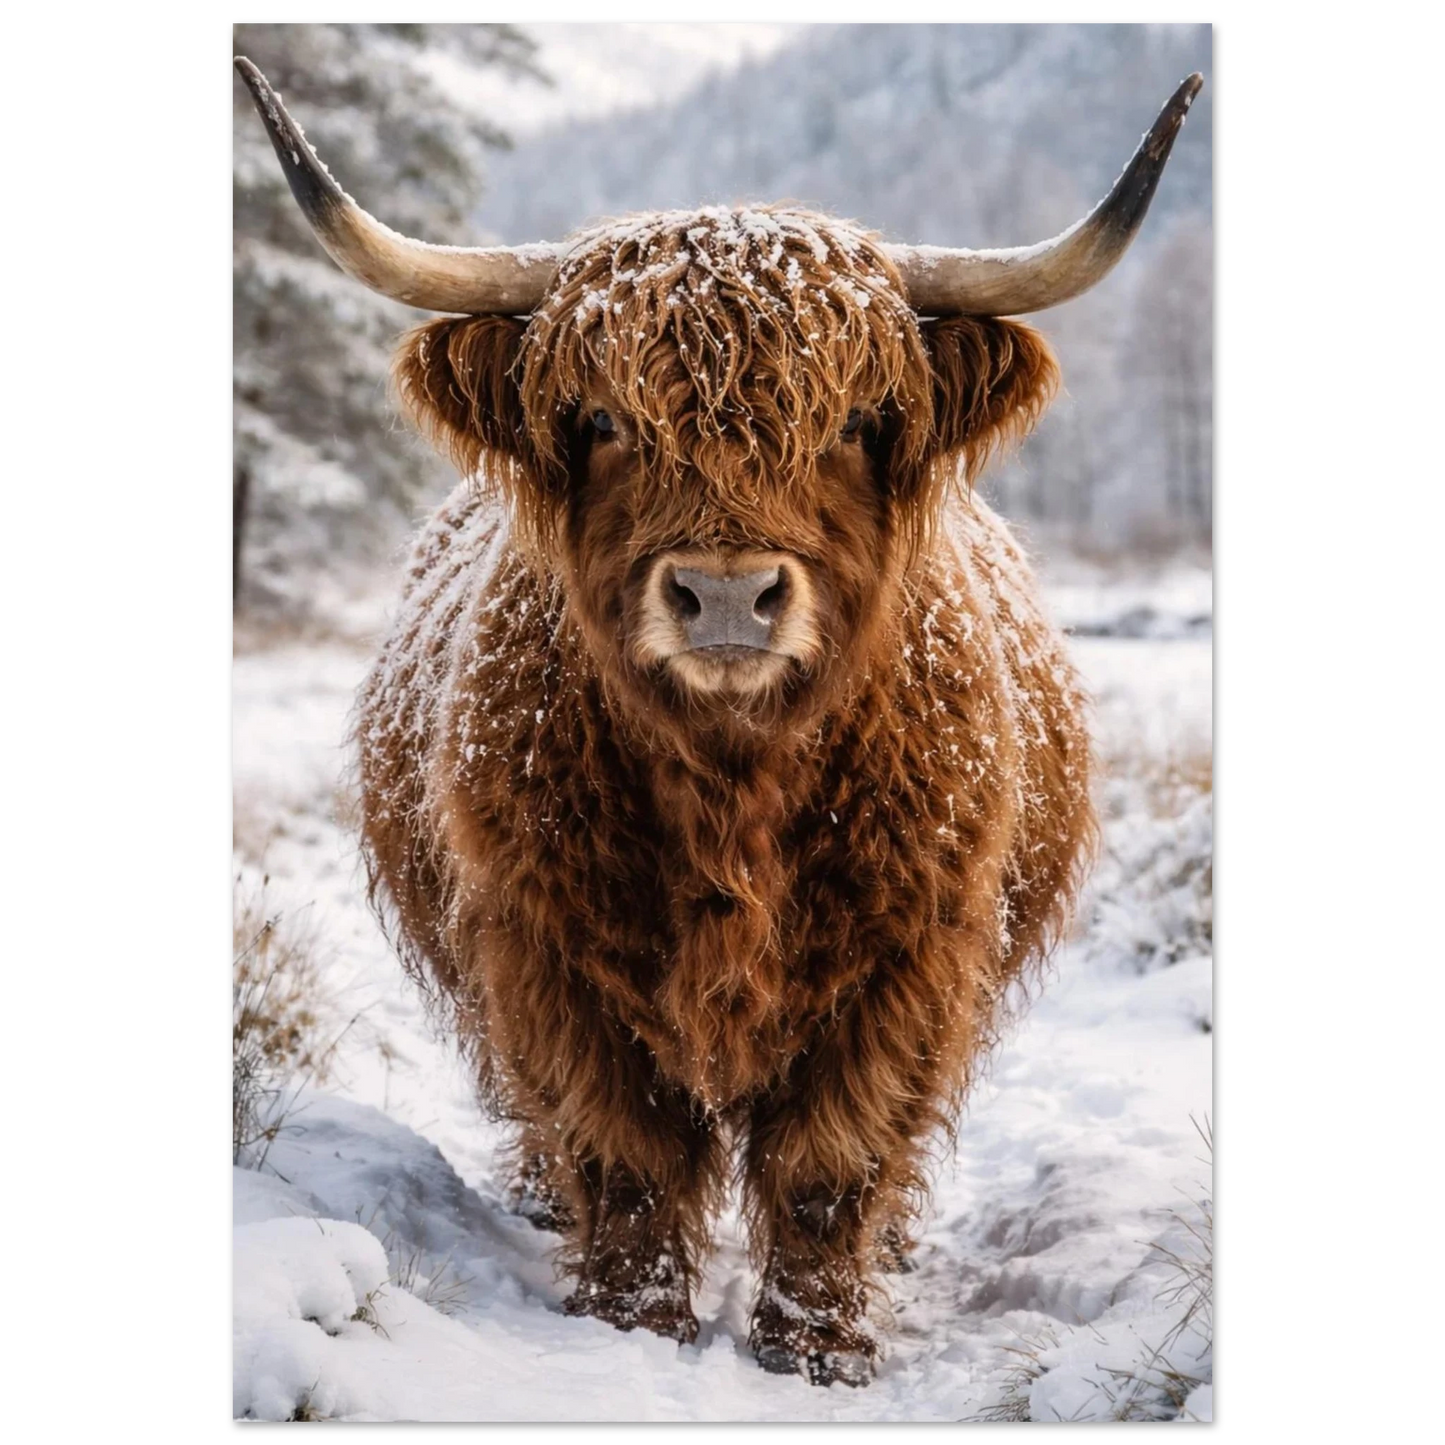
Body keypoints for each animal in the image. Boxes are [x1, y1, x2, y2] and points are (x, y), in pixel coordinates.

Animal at [235, 58, 1202, 1386]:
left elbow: (830, 1162)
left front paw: (818, 1347)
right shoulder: (546, 953)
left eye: (852, 421)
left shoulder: (905, 963)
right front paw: (627, 1323)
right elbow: (625, 1155)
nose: (728, 592)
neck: (733, 782)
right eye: (600, 420)